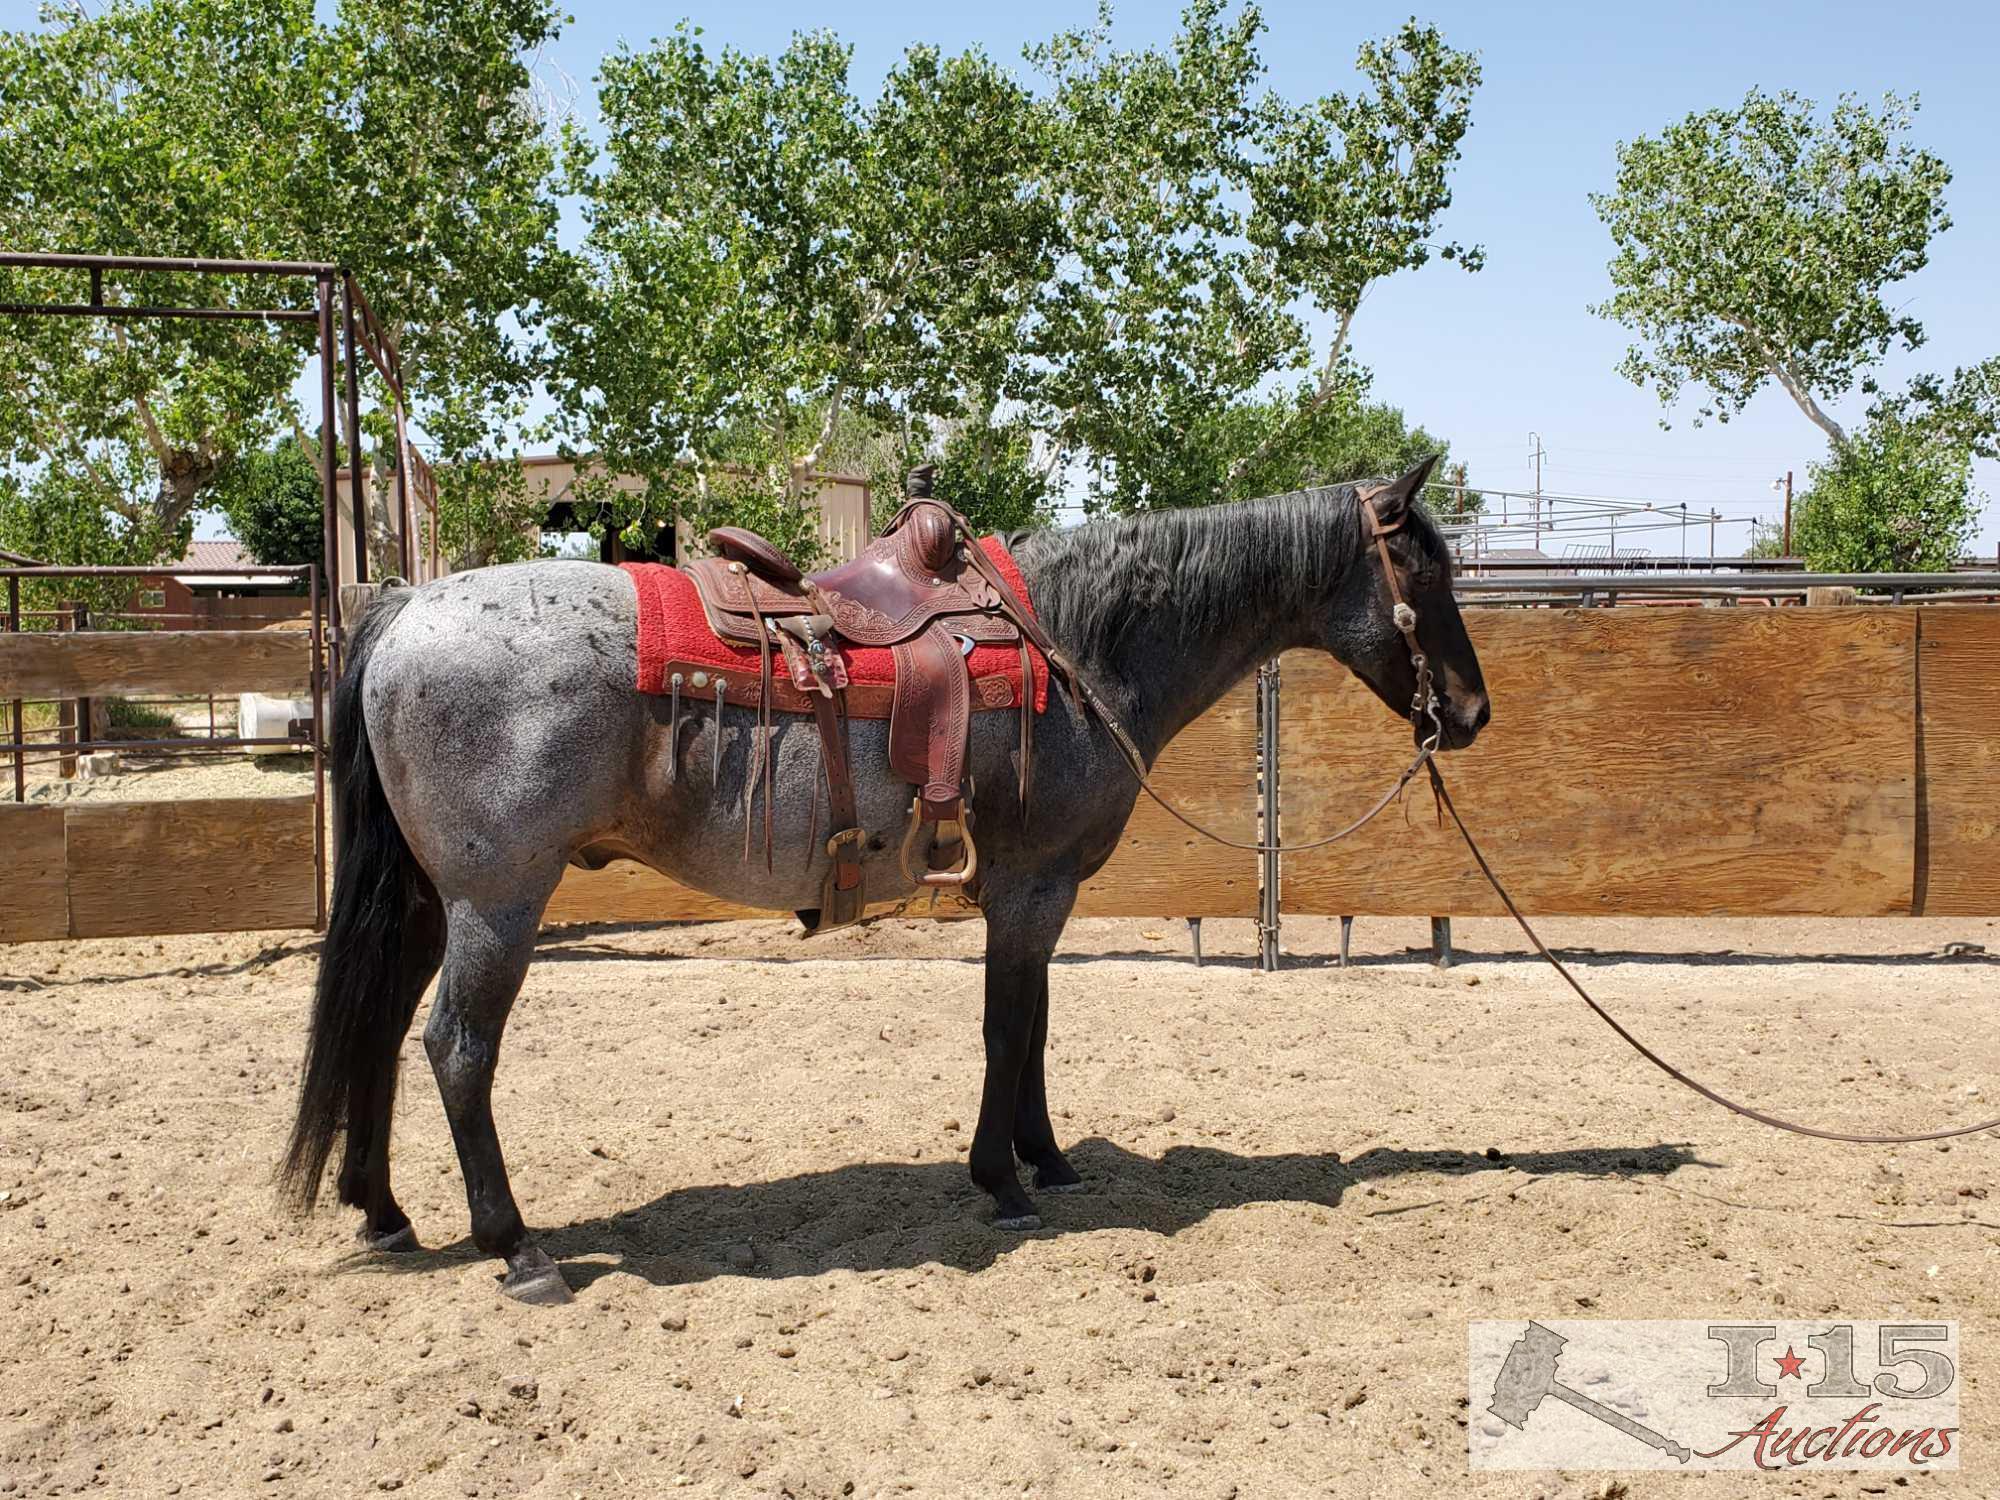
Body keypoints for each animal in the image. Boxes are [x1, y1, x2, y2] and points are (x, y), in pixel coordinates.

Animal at [290, 462, 1496, 1304]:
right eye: (1428, 572)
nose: (1474, 713)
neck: (1078, 646)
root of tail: (403, 609)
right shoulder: (1028, 888)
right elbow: (1007, 1027)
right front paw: (1000, 1181)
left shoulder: (1037, 891)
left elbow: (1036, 1025)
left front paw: (1048, 1161)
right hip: (498, 900)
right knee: (456, 1047)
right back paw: (516, 1248)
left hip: (427, 900)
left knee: (381, 1028)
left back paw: (381, 1209)